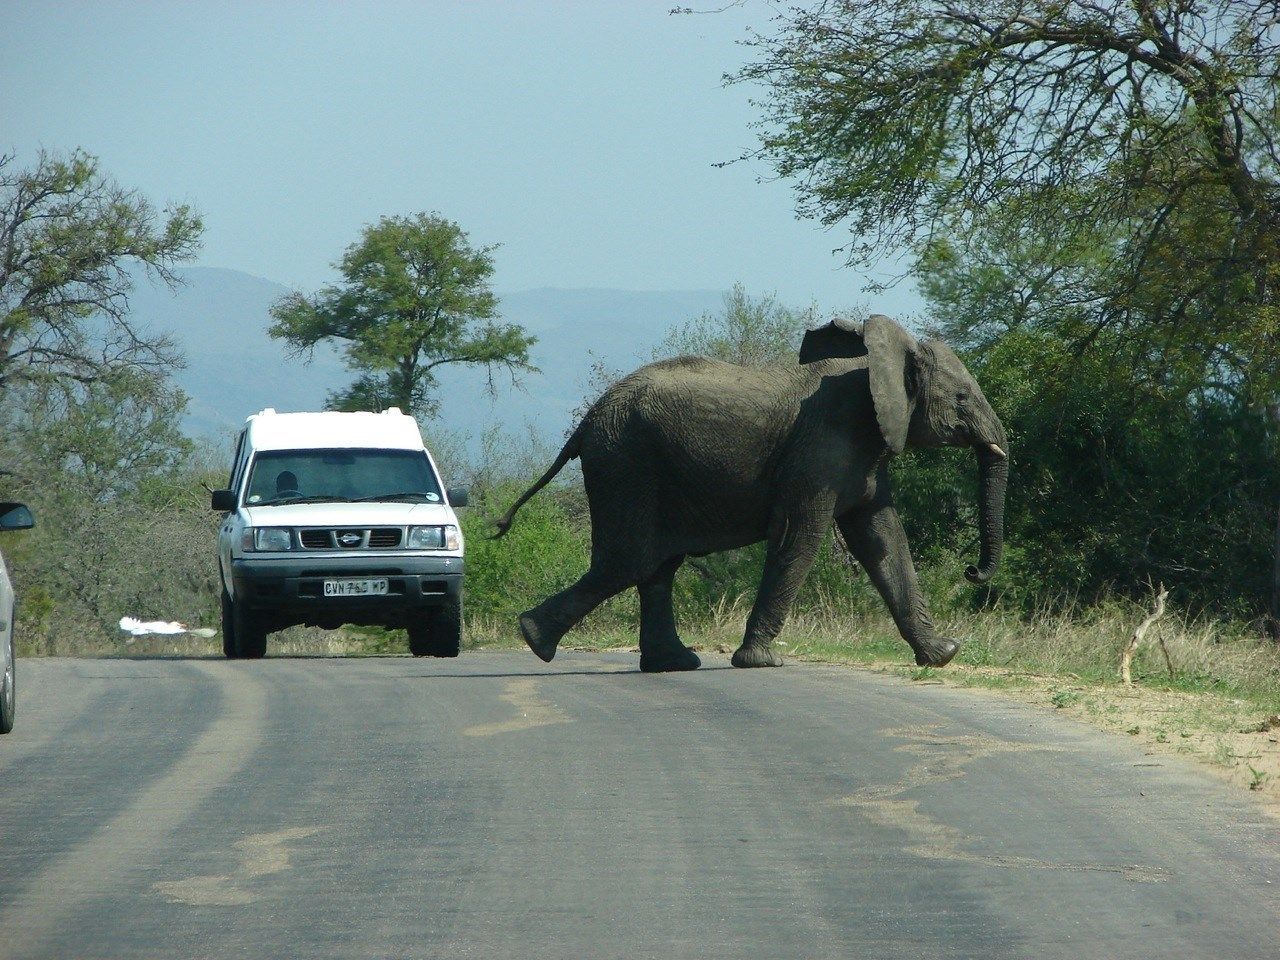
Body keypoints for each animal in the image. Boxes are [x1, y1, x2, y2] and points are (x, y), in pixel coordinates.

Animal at [494, 312, 1003, 670]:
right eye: (962, 399)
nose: (971, 571)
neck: (872, 365)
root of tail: (587, 421)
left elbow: (884, 540)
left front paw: (943, 654)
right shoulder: (819, 450)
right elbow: (801, 538)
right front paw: (760, 661)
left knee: (656, 564)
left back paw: (671, 663)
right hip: (625, 461)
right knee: (630, 559)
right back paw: (535, 639)